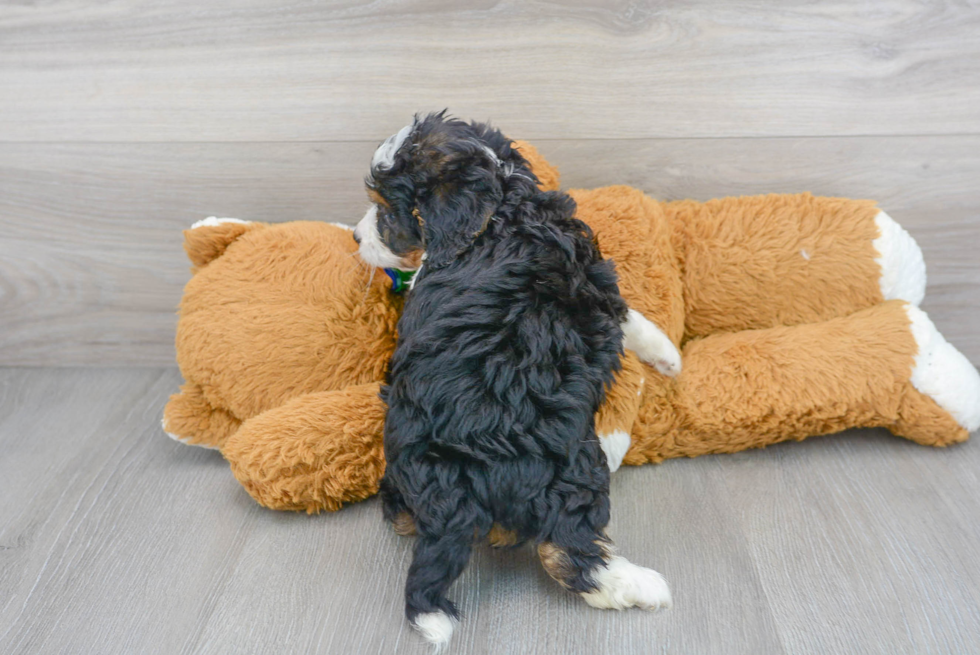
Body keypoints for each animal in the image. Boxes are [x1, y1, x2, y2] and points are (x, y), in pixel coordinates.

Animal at [358, 114, 672, 652]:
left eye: (386, 214)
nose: (356, 238)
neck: (503, 213)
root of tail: (456, 489)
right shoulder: (597, 287)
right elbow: (630, 318)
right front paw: (669, 356)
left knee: (401, 514)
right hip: (571, 473)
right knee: (567, 551)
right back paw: (641, 586)